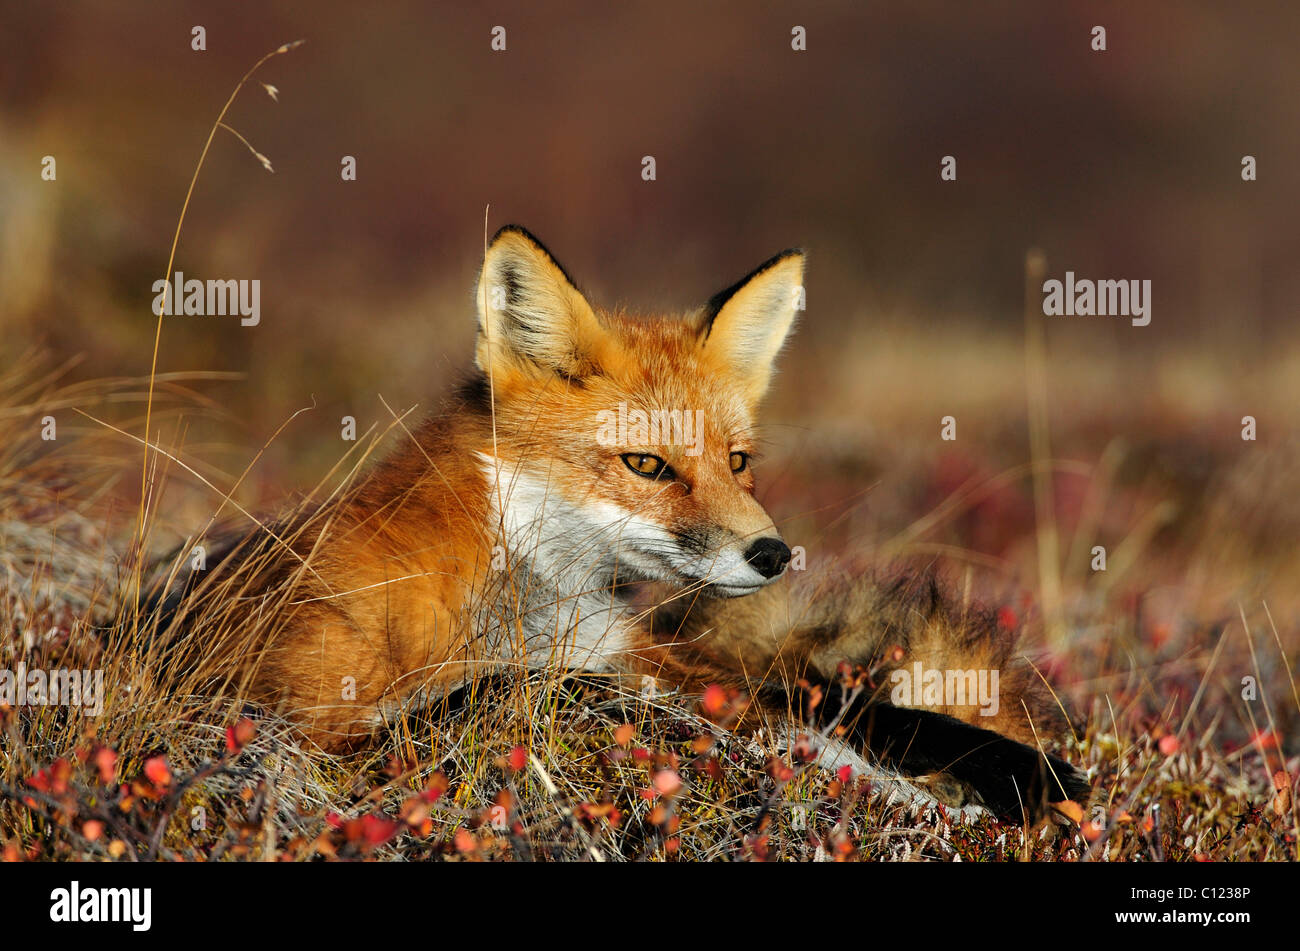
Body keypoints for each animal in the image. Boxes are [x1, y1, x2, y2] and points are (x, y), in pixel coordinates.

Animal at [152, 226, 1086, 821]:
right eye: (646, 464)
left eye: (737, 461)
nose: (773, 552)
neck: (524, 600)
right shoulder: (308, 726)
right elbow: (537, 686)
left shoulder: (645, 654)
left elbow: (841, 708)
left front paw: (1026, 772)